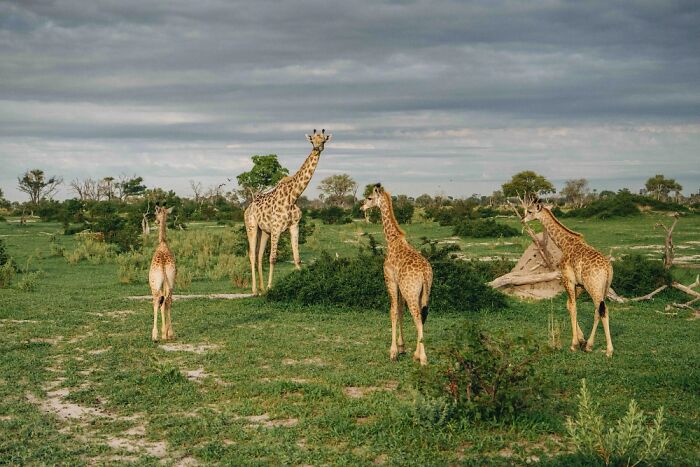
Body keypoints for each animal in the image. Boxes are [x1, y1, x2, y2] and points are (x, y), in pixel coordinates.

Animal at [244, 129, 332, 294]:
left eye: (323, 140)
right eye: (312, 140)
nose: (318, 148)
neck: (294, 196)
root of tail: (247, 208)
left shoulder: (294, 226)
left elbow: (297, 258)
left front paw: (303, 283)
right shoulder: (277, 227)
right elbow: (273, 258)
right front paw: (271, 287)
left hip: (264, 231)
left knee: (259, 255)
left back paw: (261, 288)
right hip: (251, 226)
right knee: (252, 255)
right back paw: (255, 290)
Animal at [362, 184, 433, 365]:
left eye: (369, 198)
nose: (361, 206)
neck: (392, 240)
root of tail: (424, 273)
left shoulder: (390, 280)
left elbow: (392, 311)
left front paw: (393, 352)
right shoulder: (399, 285)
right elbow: (400, 310)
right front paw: (402, 348)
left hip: (411, 292)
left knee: (417, 317)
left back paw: (423, 359)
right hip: (424, 292)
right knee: (423, 316)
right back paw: (417, 354)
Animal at [522, 202, 614, 357]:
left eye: (529, 211)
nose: (523, 219)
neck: (564, 244)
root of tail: (607, 268)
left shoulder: (568, 279)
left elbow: (573, 306)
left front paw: (574, 344)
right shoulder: (580, 285)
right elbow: (569, 305)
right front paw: (582, 339)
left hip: (593, 287)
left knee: (603, 311)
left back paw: (608, 351)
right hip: (604, 289)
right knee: (598, 310)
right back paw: (589, 345)